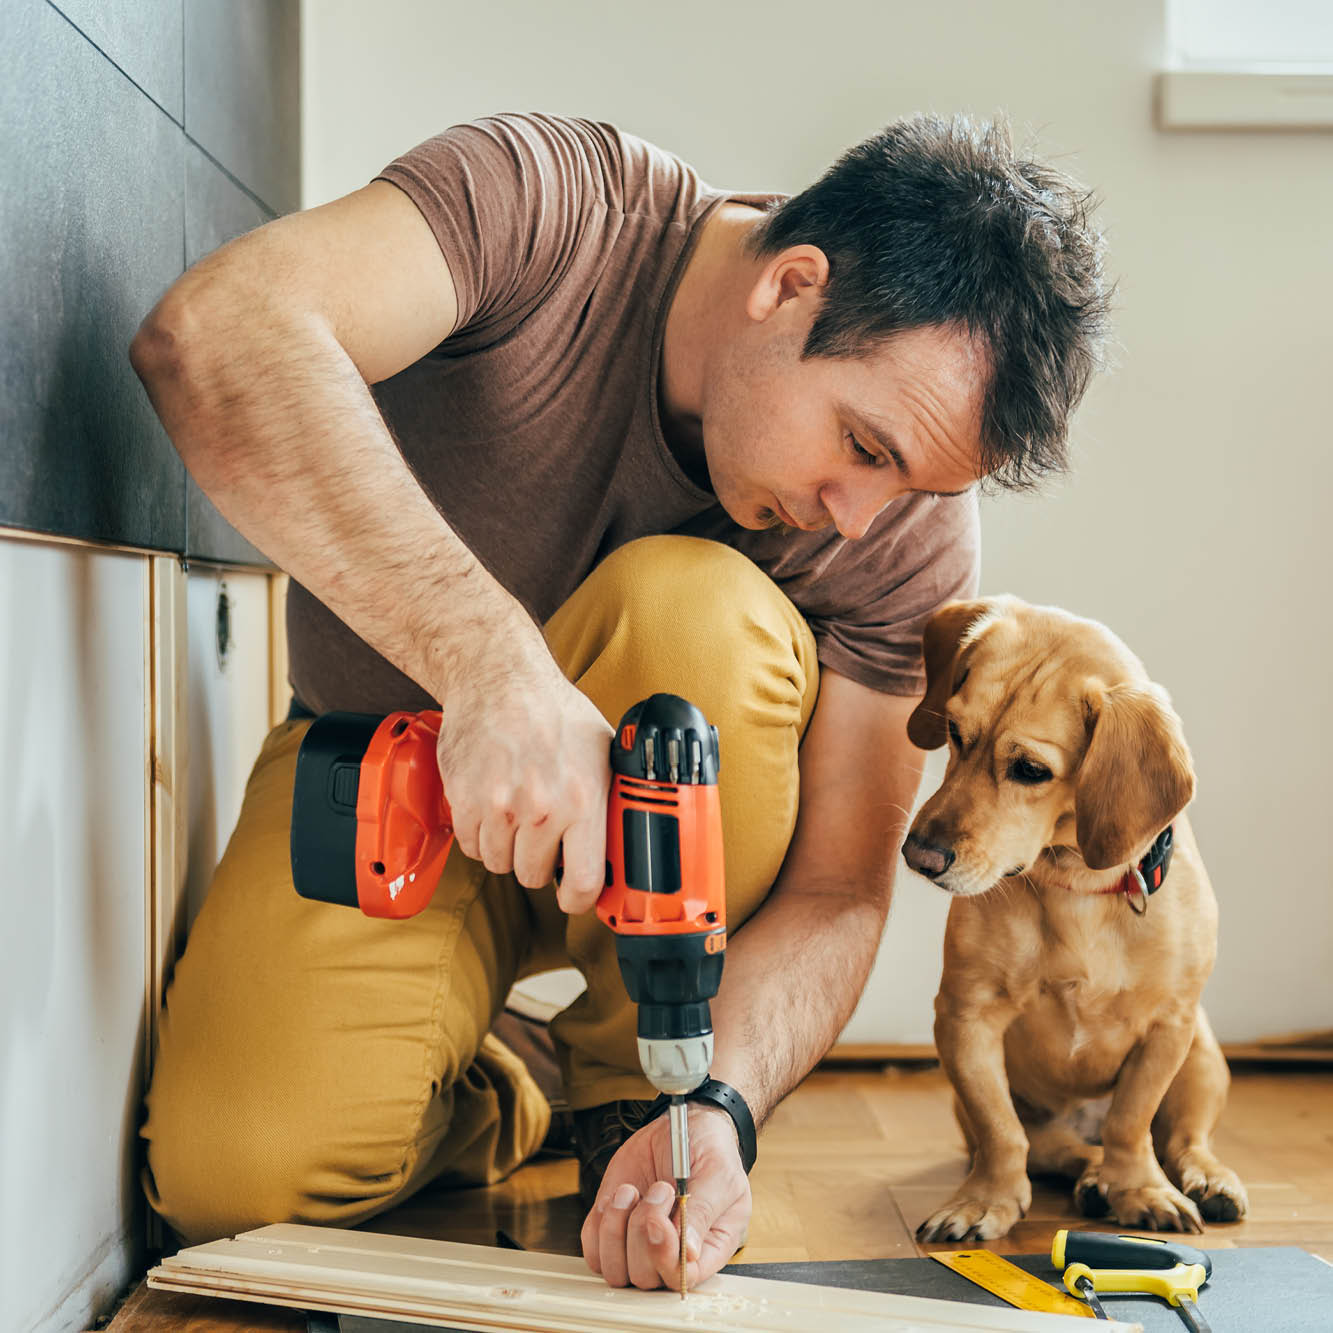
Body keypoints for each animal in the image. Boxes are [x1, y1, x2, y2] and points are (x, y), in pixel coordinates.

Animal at [901, 594, 1253, 1237]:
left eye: (1030, 770)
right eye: (955, 733)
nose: (919, 856)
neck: (1076, 888)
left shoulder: (1168, 1028)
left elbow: (1131, 1122)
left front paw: (1140, 1189)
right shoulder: (965, 1020)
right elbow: (1000, 1133)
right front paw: (984, 1199)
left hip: (1203, 1057)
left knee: (1183, 1139)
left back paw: (1204, 1179)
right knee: (1061, 1149)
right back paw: (1092, 1179)